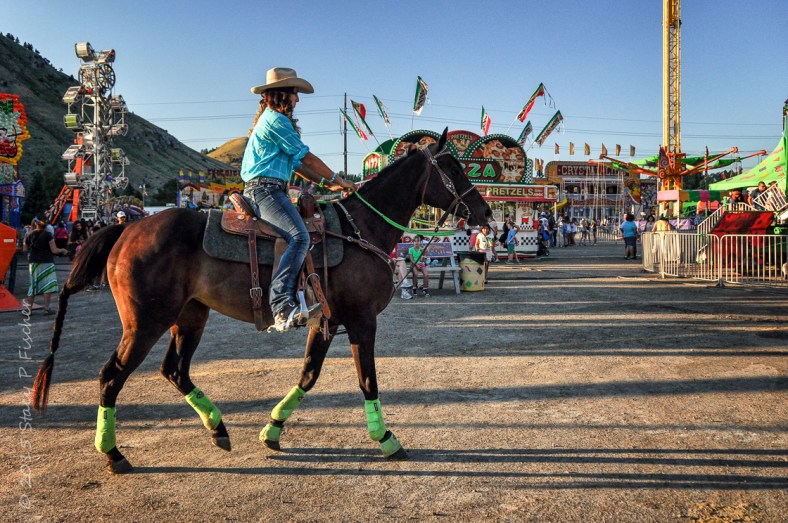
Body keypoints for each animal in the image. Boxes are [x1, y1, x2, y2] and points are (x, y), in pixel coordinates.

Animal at [30, 128, 492, 474]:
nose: (486, 212)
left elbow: (308, 375)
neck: (360, 230)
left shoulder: (327, 321)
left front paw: (272, 430)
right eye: (454, 167)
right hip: (145, 322)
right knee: (111, 376)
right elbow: (367, 381)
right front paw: (387, 439)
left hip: (189, 316)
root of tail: (126, 229)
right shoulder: (362, 321)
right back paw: (113, 453)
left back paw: (218, 428)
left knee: (174, 369)